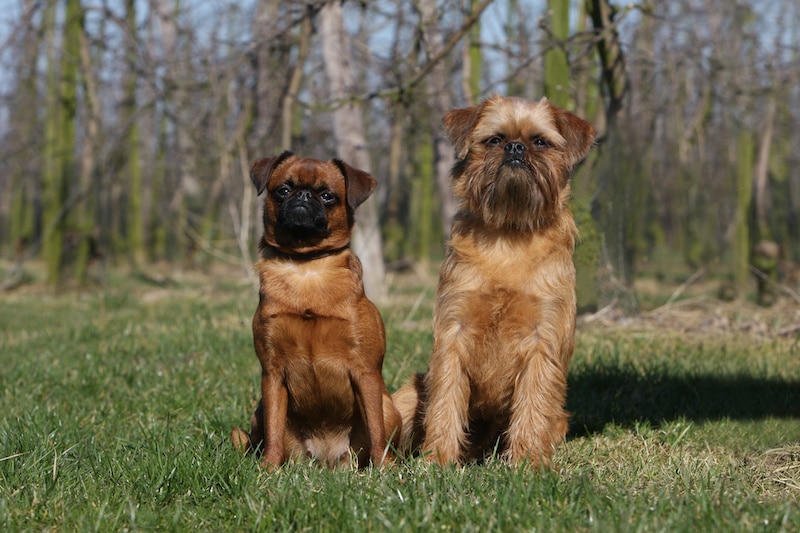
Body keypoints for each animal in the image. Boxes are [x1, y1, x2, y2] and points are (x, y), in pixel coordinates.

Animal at [233, 152, 400, 468]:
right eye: (283, 190)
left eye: (327, 196)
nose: (303, 195)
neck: (306, 266)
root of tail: (327, 459)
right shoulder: (272, 374)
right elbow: (274, 431)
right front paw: (268, 469)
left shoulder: (366, 371)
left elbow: (376, 431)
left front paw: (383, 469)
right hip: (259, 412)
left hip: (389, 405)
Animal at [394, 94, 592, 466]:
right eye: (495, 140)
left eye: (539, 142)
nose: (515, 147)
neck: (508, 234)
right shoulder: (453, 333)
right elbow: (445, 401)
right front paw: (437, 460)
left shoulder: (542, 339)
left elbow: (532, 404)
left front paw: (527, 462)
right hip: (408, 394)